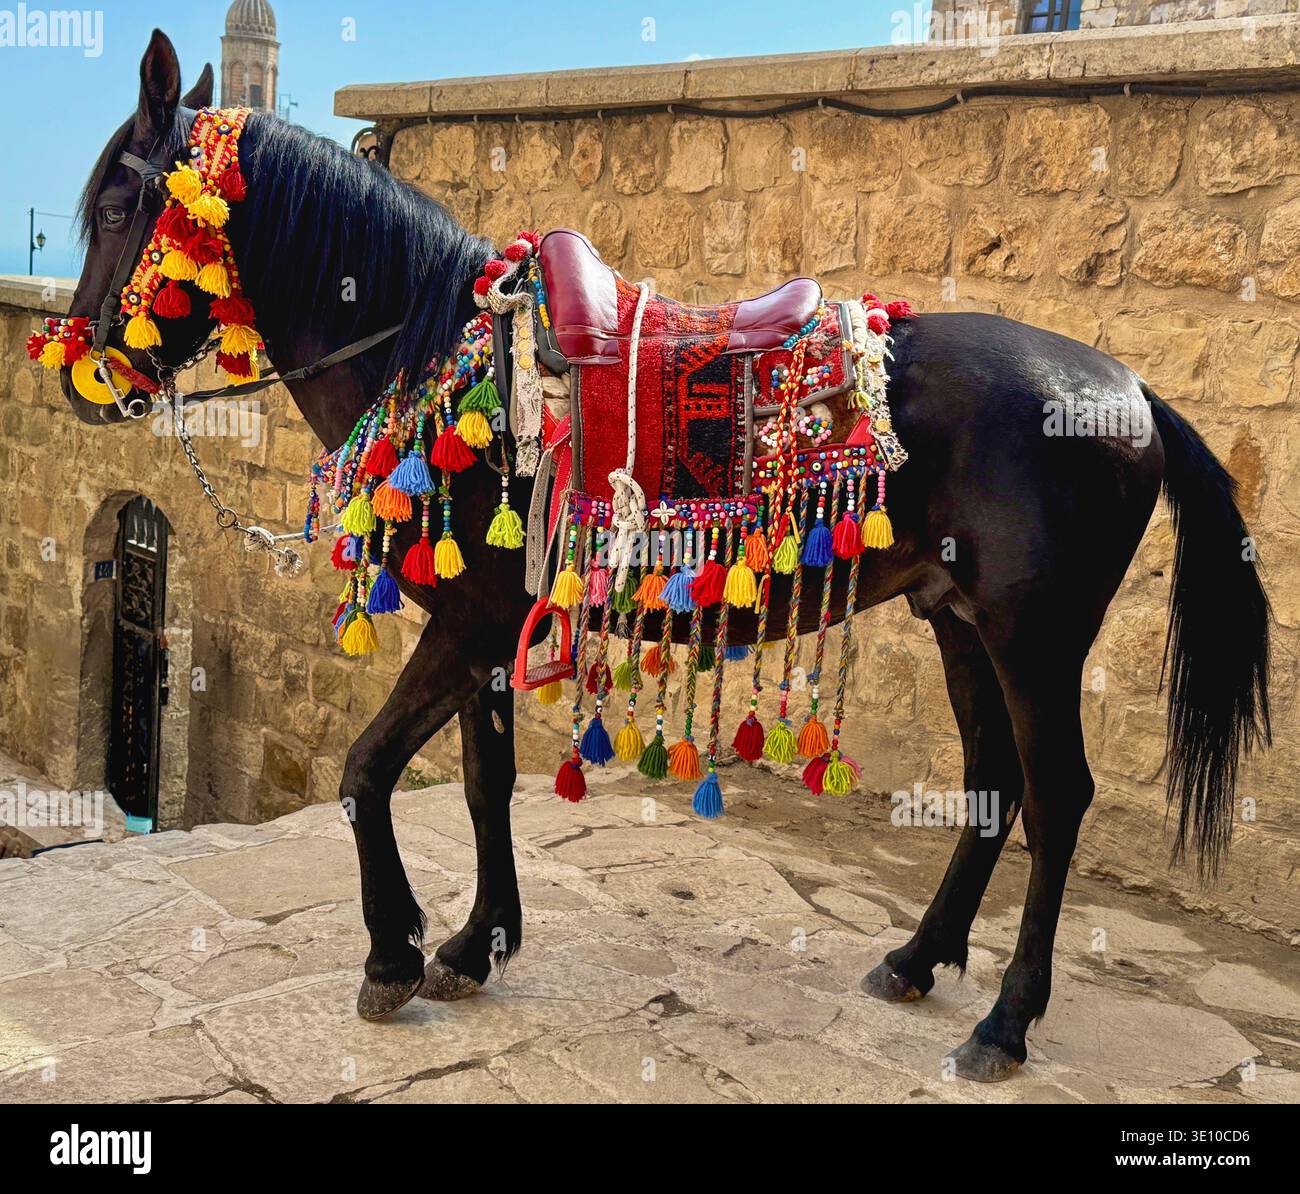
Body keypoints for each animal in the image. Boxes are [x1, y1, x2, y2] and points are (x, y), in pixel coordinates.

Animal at [56, 30, 1270, 1083]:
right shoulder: (487, 630)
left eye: (117, 207)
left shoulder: (465, 626)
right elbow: (483, 784)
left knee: (1056, 797)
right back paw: (917, 961)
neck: (445, 352)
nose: (87, 382)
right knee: (992, 786)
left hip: (1035, 637)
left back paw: (1007, 1022)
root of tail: (1127, 390)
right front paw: (473, 946)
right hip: (958, 622)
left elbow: (366, 771)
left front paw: (393, 953)